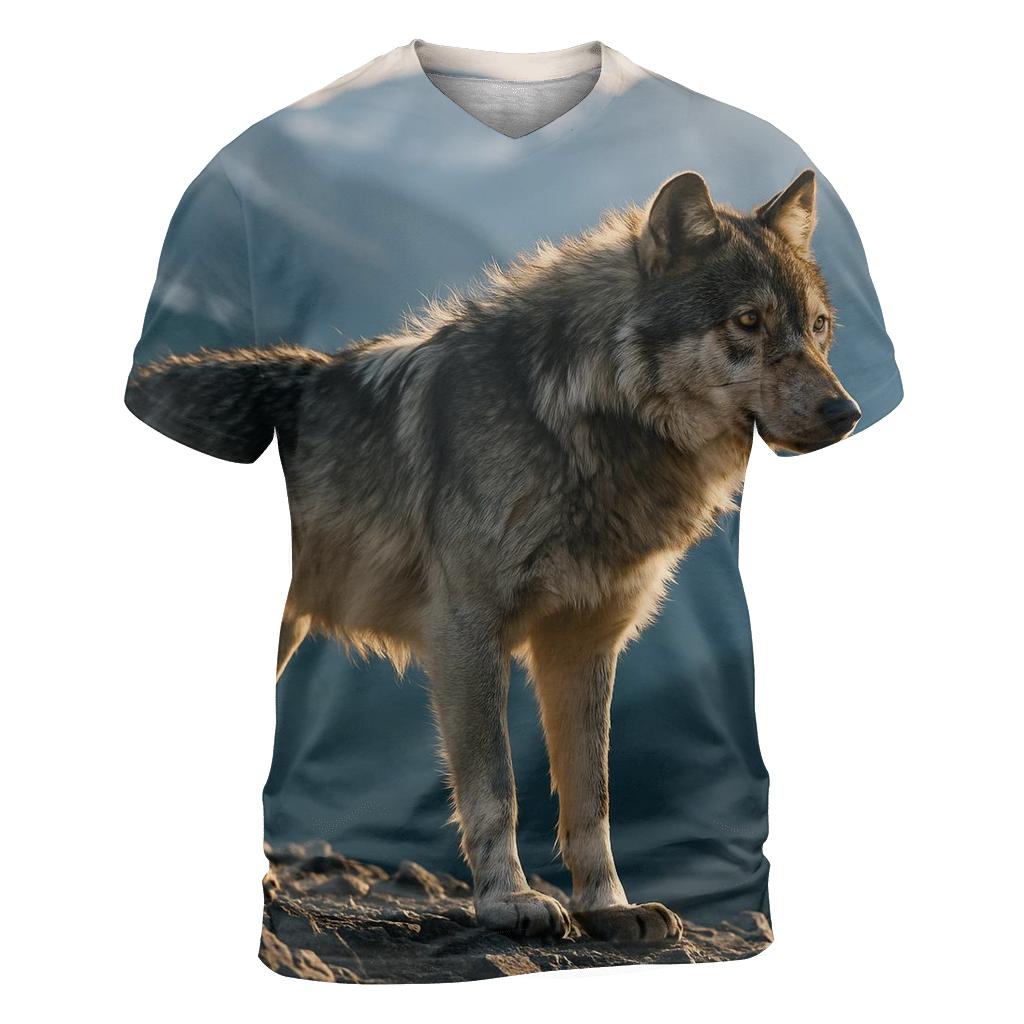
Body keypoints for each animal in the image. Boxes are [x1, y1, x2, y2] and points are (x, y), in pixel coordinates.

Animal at [130, 169, 860, 943]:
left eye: (818, 327)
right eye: (747, 322)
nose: (846, 414)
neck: (576, 421)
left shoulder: (584, 644)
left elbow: (592, 800)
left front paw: (609, 908)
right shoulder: (466, 633)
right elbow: (497, 788)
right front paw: (509, 901)